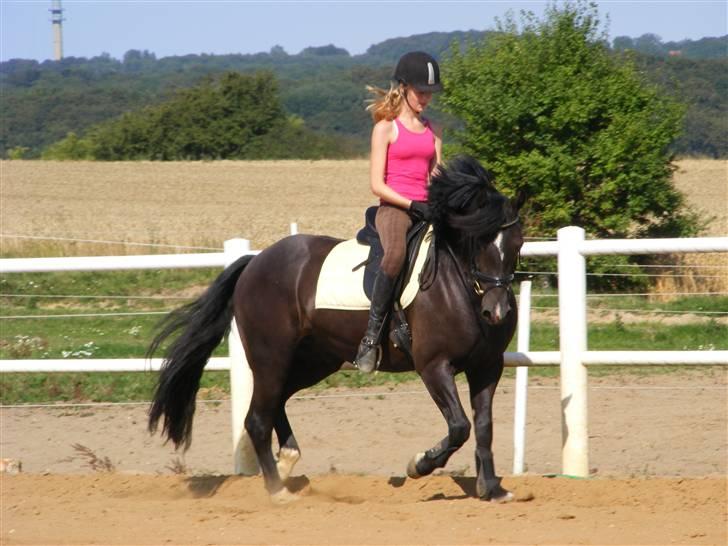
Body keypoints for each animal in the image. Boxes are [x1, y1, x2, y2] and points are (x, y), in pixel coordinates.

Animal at [148, 153, 524, 502]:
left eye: (517, 243)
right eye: (478, 241)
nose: (497, 312)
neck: (462, 287)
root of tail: (255, 262)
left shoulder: (487, 367)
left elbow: (484, 426)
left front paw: (492, 489)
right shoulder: (433, 366)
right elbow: (460, 426)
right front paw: (419, 465)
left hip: (315, 360)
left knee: (276, 402)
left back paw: (286, 462)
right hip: (271, 357)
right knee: (257, 418)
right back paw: (277, 490)